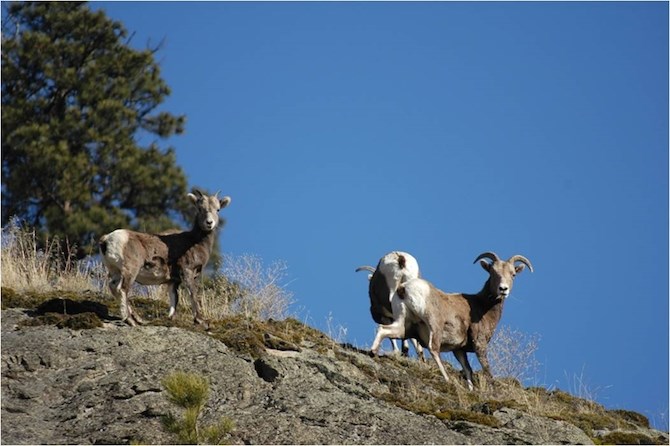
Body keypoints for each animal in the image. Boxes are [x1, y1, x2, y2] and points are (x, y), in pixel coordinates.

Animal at [98, 188, 232, 328]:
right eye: (200, 209)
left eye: (218, 209)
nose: (209, 223)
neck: (194, 242)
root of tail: (106, 240)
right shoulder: (187, 272)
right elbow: (193, 294)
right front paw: (200, 321)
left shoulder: (173, 282)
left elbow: (174, 299)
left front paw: (170, 318)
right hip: (130, 270)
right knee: (122, 289)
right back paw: (131, 321)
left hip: (115, 271)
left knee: (114, 288)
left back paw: (138, 319)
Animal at [376, 251, 532, 390]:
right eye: (493, 273)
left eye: (513, 274)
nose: (503, 289)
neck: (482, 306)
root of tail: (404, 288)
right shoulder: (479, 345)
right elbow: (486, 370)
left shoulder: (459, 350)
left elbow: (468, 370)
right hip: (434, 326)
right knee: (433, 349)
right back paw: (447, 379)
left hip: (404, 325)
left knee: (384, 329)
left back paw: (373, 352)